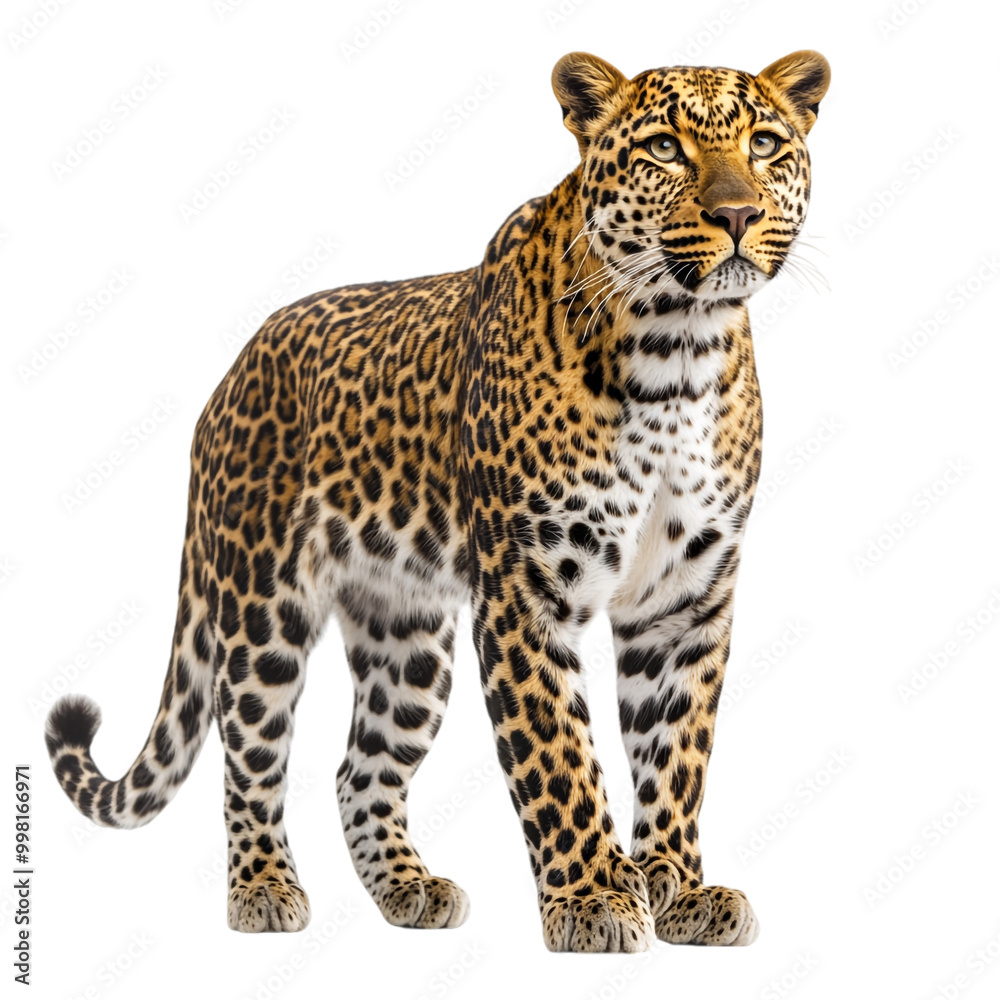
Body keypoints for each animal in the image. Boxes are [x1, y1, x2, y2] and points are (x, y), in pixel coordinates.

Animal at [46, 48, 830, 952]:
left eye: (765, 143)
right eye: (665, 149)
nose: (737, 213)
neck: (678, 352)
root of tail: (232, 374)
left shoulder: (685, 600)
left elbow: (676, 753)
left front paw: (679, 885)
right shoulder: (528, 590)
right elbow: (560, 757)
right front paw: (595, 897)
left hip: (409, 640)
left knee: (359, 770)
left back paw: (408, 889)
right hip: (260, 608)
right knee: (250, 758)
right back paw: (265, 889)